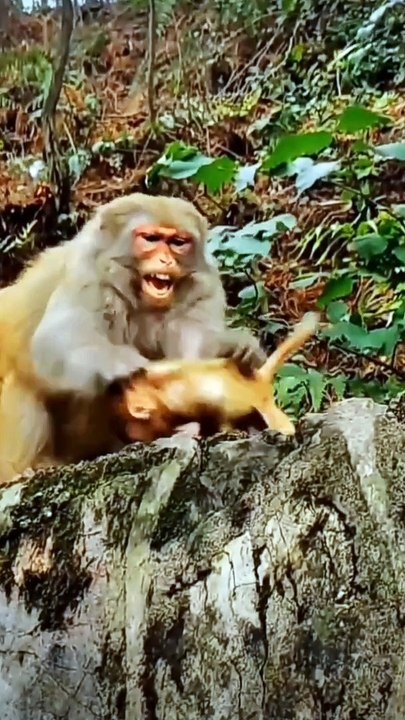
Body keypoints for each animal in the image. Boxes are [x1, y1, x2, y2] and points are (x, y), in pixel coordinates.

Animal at [0, 193, 265, 483]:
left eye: (178, 243)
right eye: (151, 239)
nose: (166, 261)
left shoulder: (201, 289)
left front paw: (235, 349)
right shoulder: (88, 276)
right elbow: (55, 341)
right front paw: (121, 364)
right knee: (23, 379)